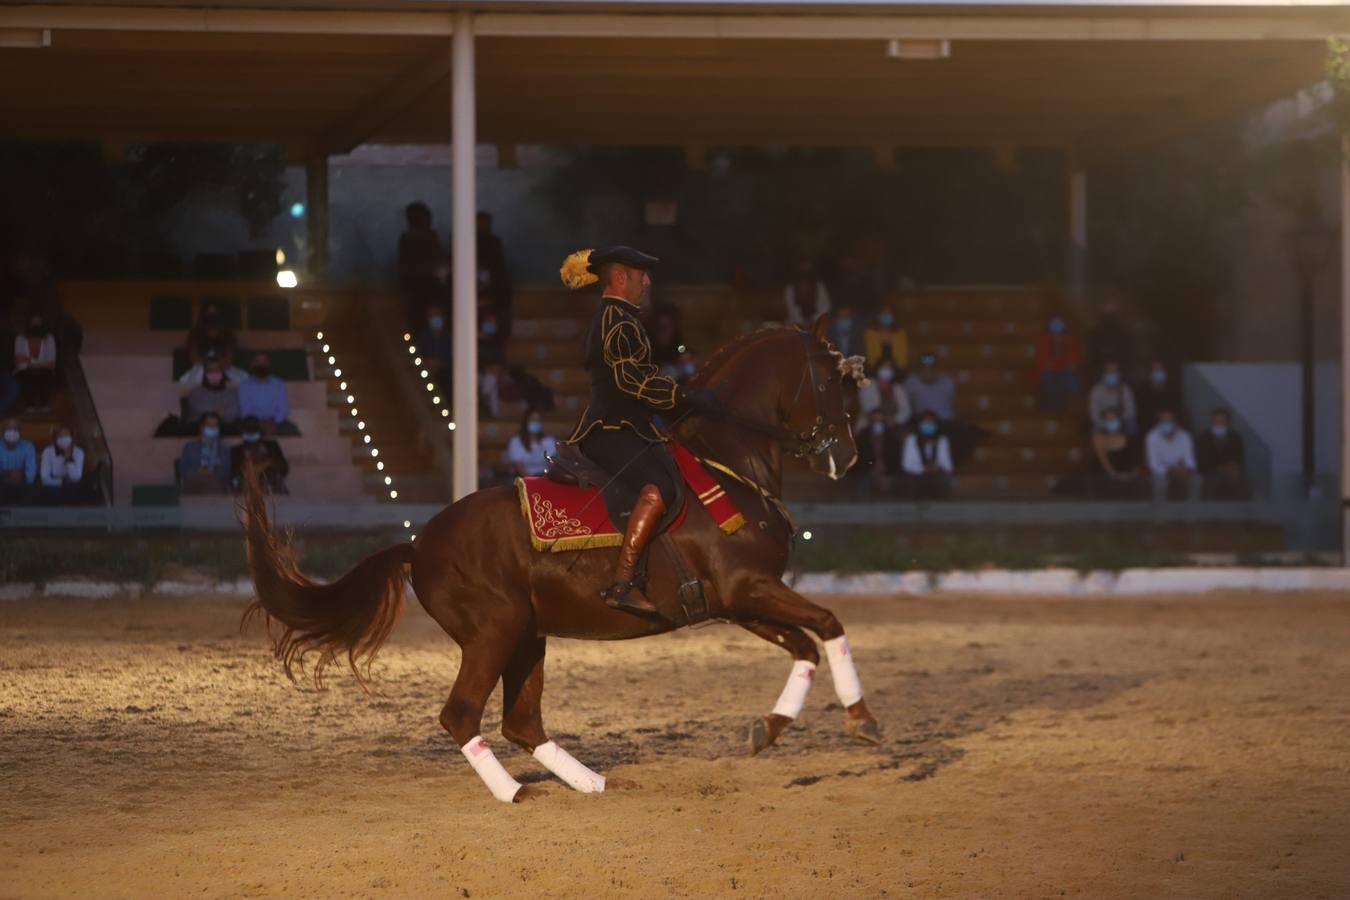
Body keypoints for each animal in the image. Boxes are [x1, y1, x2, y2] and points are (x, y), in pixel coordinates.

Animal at [241, 315, 880, 804]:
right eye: (831, 379)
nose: (847, 456)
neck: (726, 463)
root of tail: (418, 544)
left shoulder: (736, 600)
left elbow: (804, 645)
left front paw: (767, 729)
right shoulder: (748, 587)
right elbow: (829, 625)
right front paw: (861, 719)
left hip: (528, 635)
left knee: (521, 722)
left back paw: (589, 782)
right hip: (495, 631)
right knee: (462, 715)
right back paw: (514, 792)